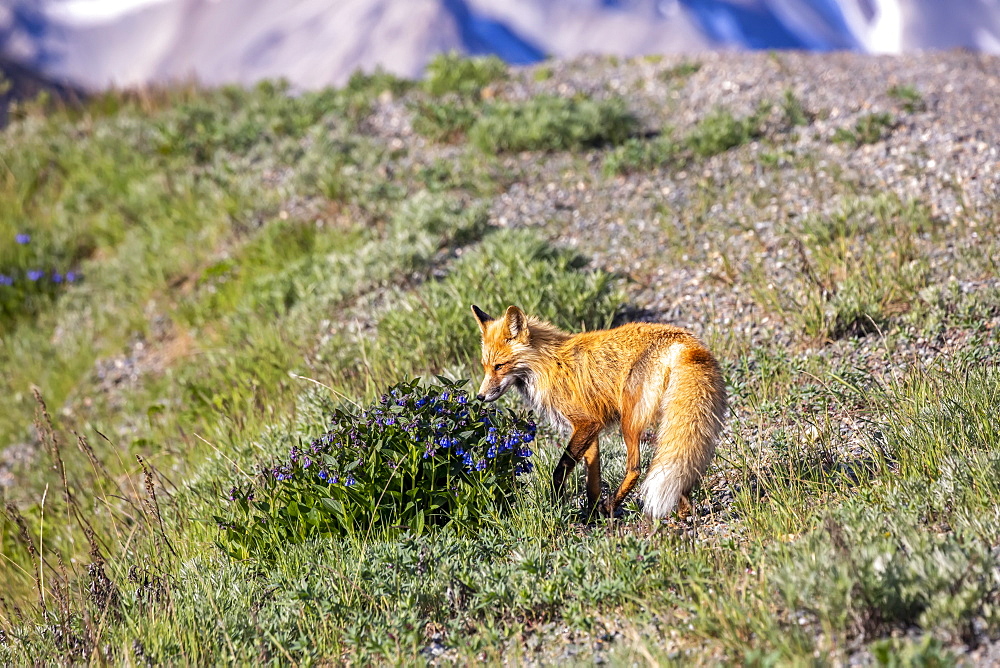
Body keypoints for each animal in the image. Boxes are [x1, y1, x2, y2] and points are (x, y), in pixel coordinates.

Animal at [468, 306, 728, 520]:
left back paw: (612, 505)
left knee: (635, 469)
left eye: (499, 366)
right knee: (681, 467)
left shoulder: (586, 423)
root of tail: (684, 339)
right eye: (485, 367)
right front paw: (591, 513)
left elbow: (560, 469)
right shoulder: (591, 427)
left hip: (629, 421)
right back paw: (682, 512)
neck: (546, 366)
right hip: (672, 420)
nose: (480, 397)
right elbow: (592, 479)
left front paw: (556, 503)